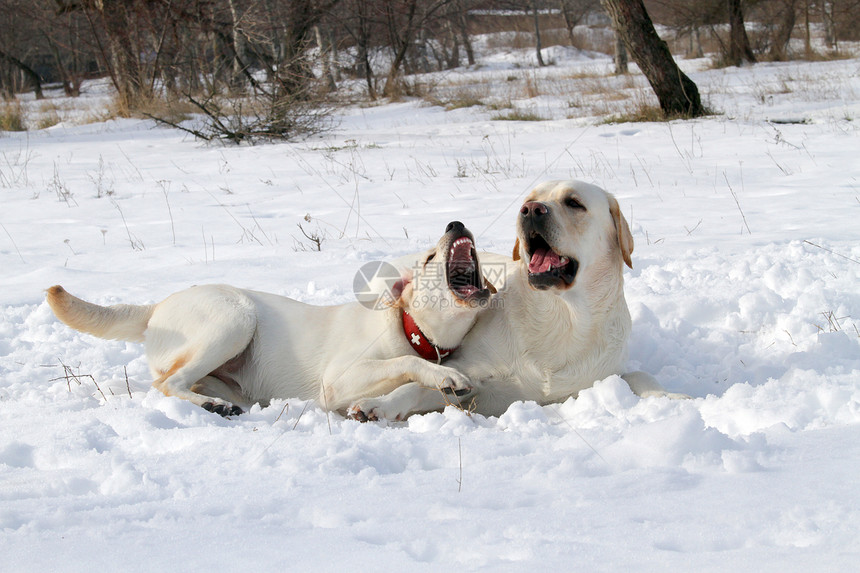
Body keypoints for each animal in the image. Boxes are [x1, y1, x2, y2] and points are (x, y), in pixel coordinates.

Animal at [45, 220, 490, 416]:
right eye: (429, 258)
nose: (455, 223)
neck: (413, 331)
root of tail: (155, 307)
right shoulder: (337, 381)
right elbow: (403, 364)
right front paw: (442, 376)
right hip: (234, 319)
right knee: (166, 383)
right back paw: (209, 406)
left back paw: (216, 402)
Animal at [346, 180, 688, 420]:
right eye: (527, 201)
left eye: (574, 203)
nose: (531, 210)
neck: (561, 315)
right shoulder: (471, 374)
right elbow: (421, 384)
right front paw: (379, 404)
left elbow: (640, 375)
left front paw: (676, 398)